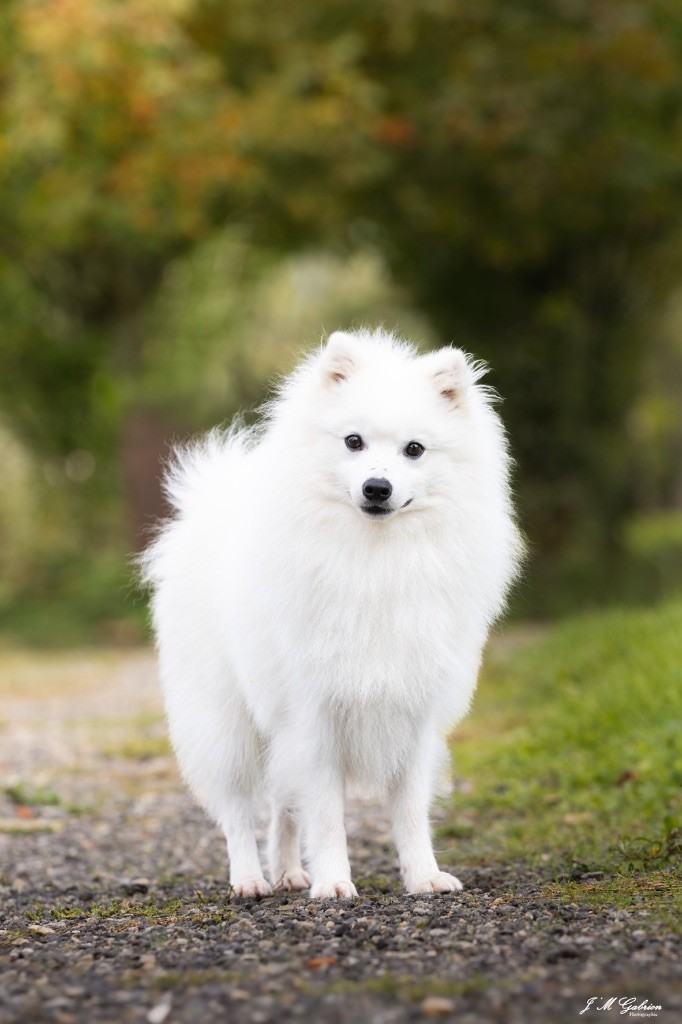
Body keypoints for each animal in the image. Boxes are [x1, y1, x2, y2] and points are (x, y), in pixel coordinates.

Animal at [140, 325, 518, 897]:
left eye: (414, 449)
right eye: (353, 442)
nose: (377, 487)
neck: (374, 559)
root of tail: (210, 505)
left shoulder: (413, 711)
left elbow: (409, 810)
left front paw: (422, 876)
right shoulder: (314, 713)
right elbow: (326, 814)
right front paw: (335, 882)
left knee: (281, 807)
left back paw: (288, 872)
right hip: (226, 719)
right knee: (237, 811)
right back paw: (250, 879)